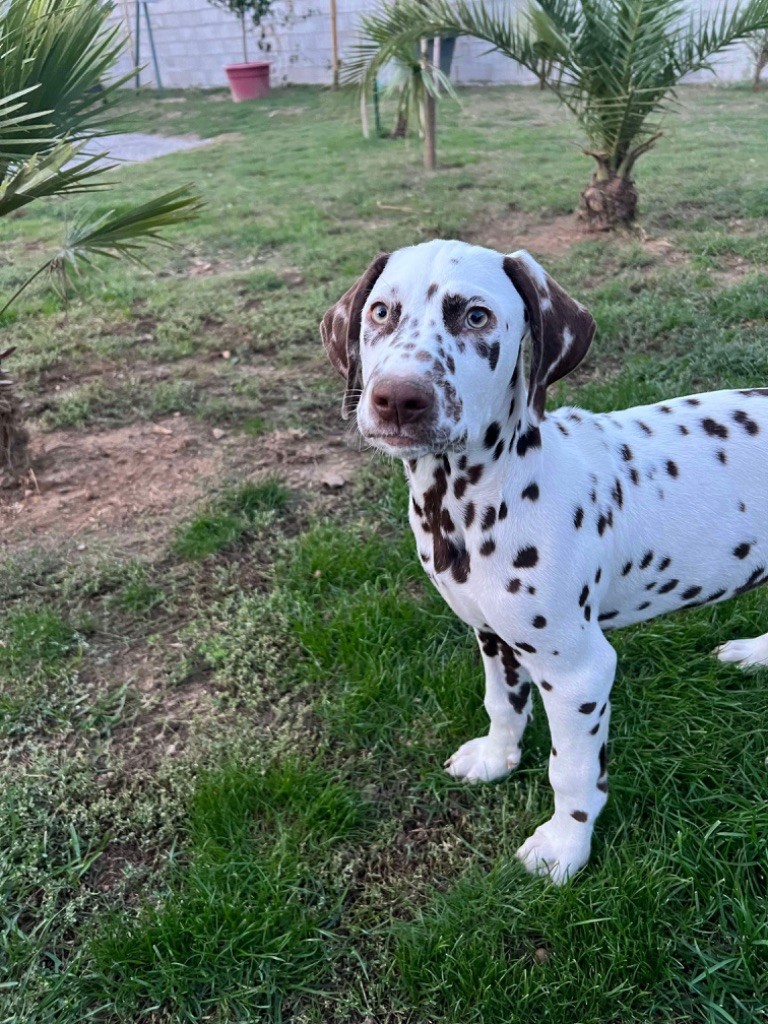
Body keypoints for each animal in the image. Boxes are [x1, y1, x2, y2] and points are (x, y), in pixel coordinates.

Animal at [319, 239, 768, 880]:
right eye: (381, 311)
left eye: (475, 316)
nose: (398, 399)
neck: (468, 500)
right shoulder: (490, 634)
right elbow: (502, 703)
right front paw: (497, 757)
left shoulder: (578, 670)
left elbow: (571, 769)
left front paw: (564, 846)